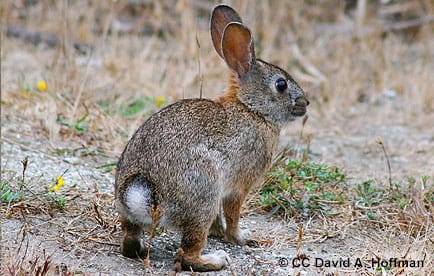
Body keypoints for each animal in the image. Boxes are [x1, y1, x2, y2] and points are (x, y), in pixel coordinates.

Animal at [113, 4, 306, 272]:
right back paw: (216, 260)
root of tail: (142, 193)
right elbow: (233, 214)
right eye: (281, 85)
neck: (251, 109)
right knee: (186, 255)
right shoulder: (238, 187)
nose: (305, 103)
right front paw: (240, 237)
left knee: (129, 242)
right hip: (204, 193)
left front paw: (218, 233)